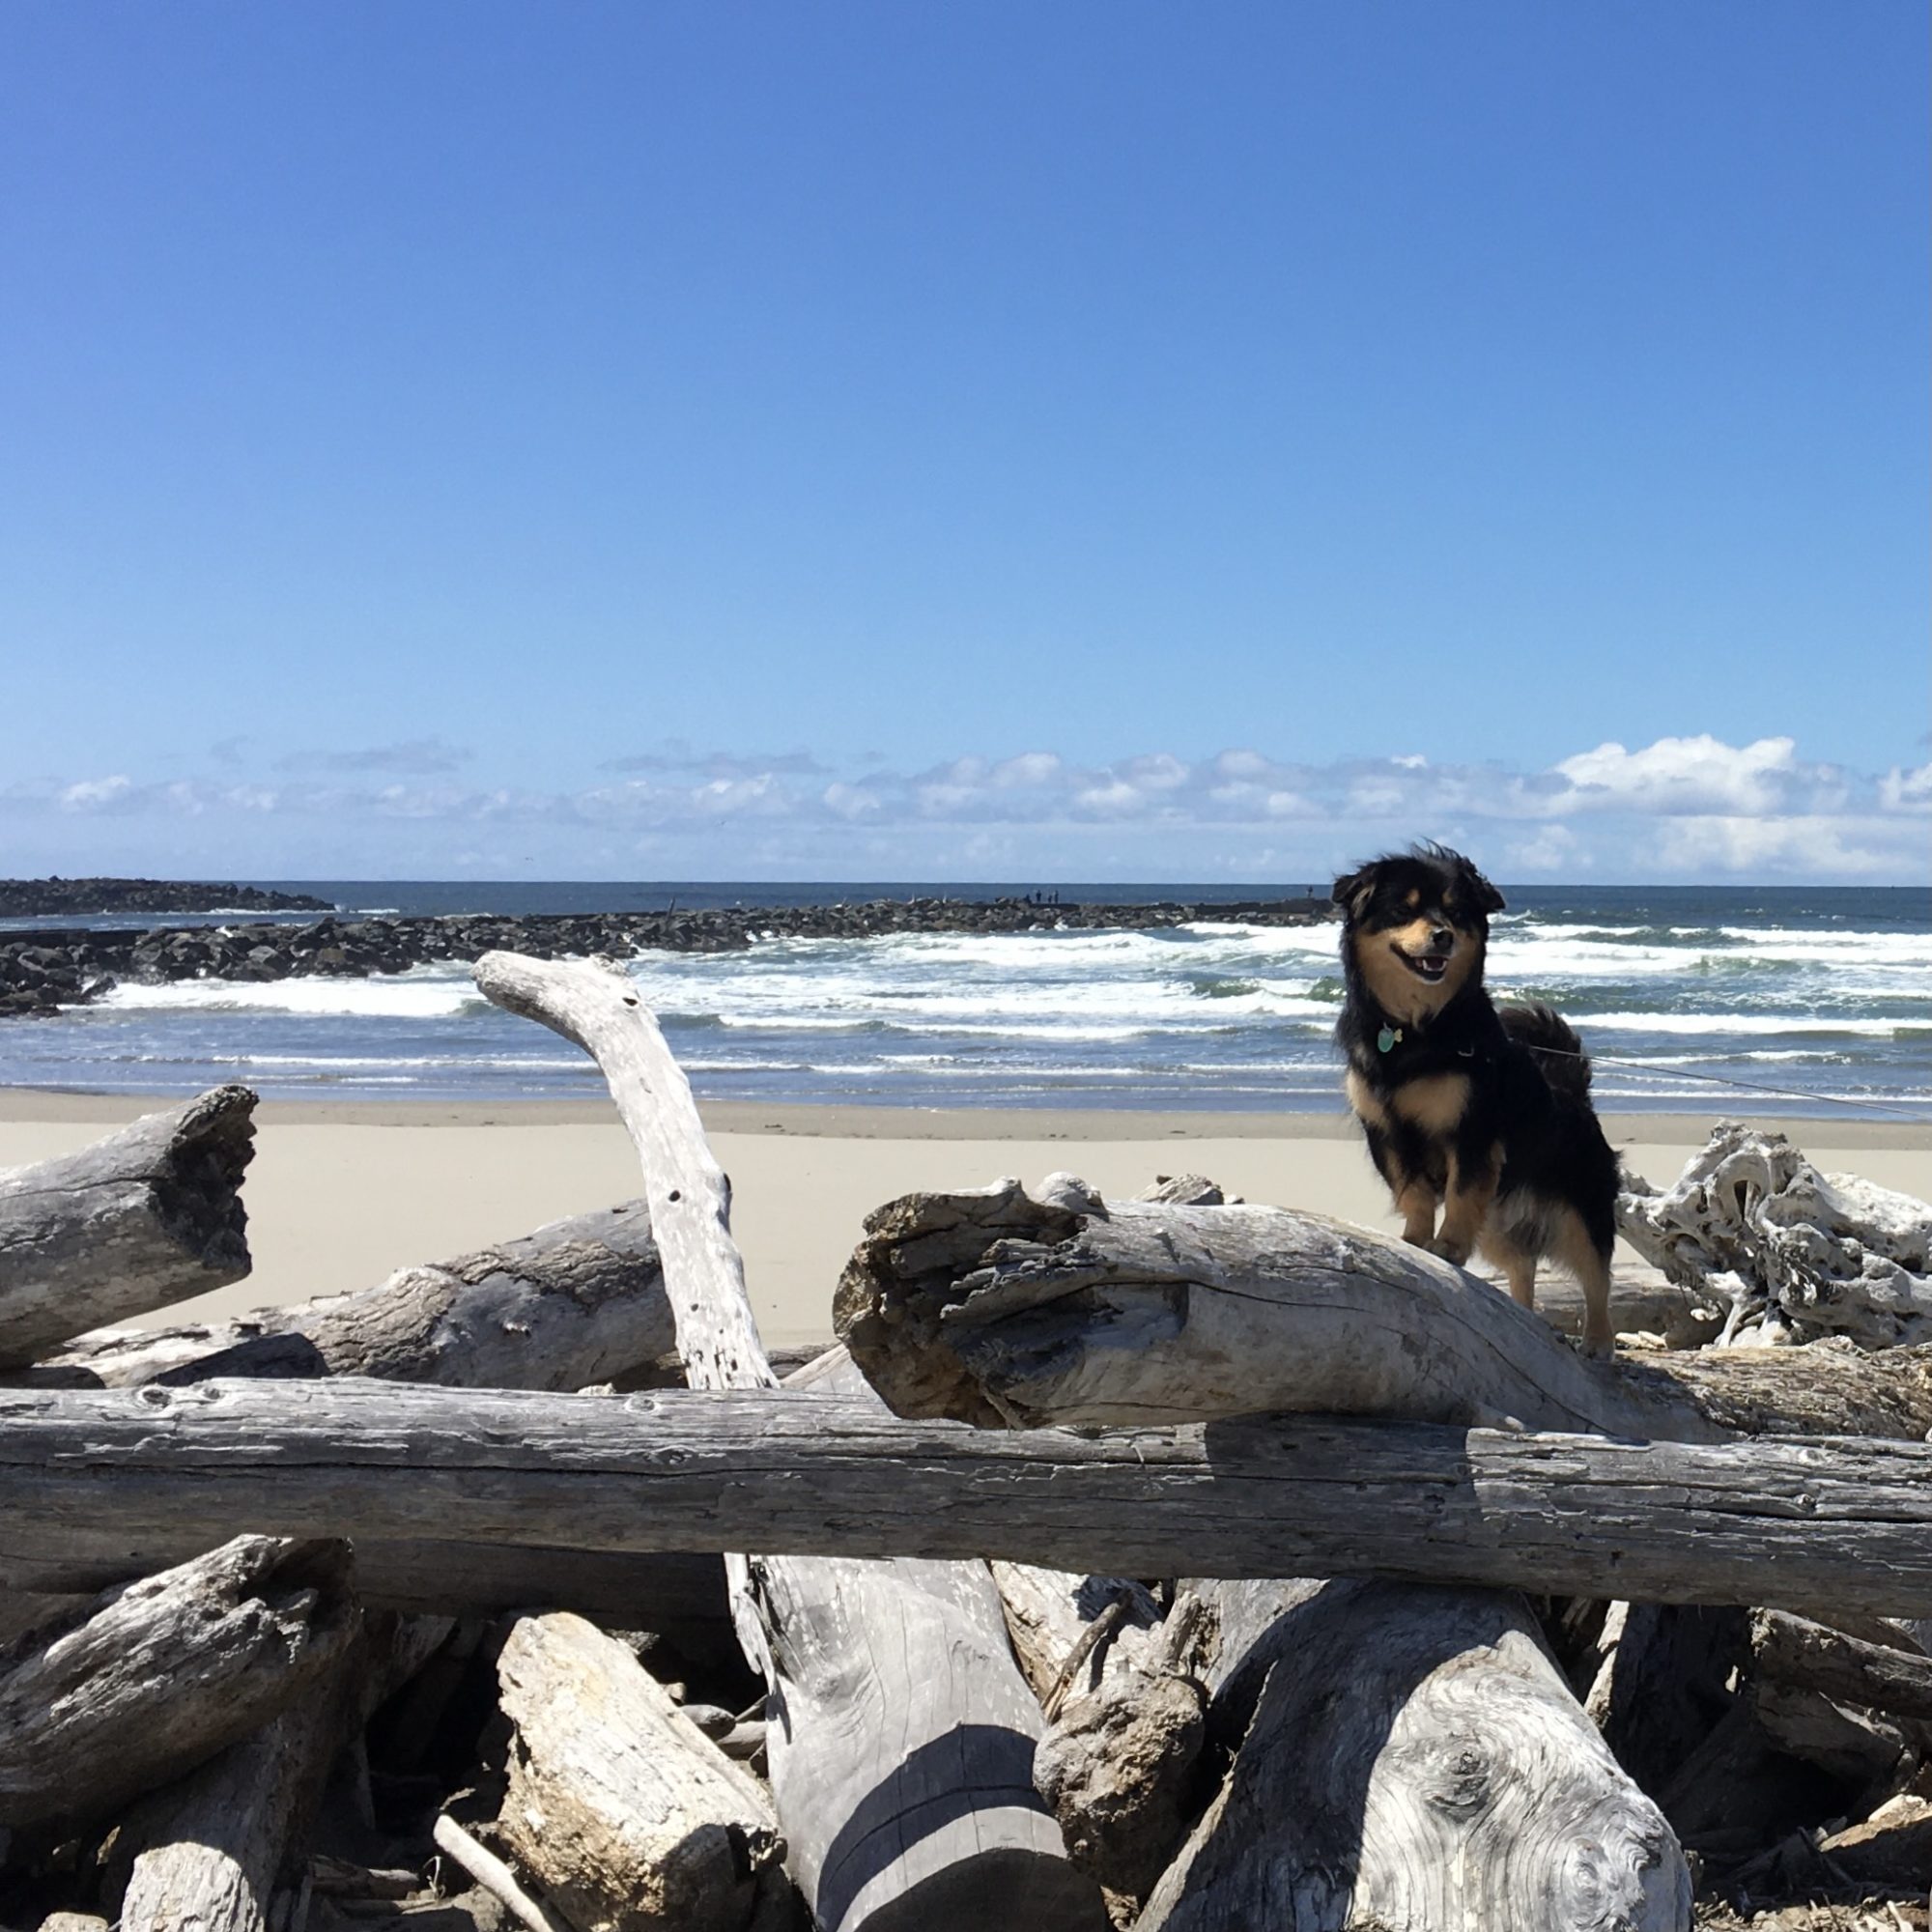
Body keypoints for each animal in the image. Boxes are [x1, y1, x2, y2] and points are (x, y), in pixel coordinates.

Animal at [1329, 846, 1615, 1360]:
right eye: (1403, 910)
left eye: (1456, 914)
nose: (1442, 936)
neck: (1414, 1027)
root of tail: (1573, 1092)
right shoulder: (1388, 1135)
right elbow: (1414, 1192)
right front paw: (1418, 1239)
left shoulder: (1473, 1134)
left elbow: (1460, 1195)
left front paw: (1447, 1247)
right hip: (1499, 1219)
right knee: (1522, 1265)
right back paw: (1523, 1318)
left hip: (1580, 1208)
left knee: (1596, 1272)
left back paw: (1599, 1341)